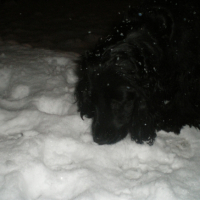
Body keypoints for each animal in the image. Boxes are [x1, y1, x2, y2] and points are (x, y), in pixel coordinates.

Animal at [75, 1, 200, 145]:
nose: (99, 139)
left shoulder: (189, 71)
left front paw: (170, 120)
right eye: (92, 99)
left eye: (119, 101)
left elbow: (183, 96)